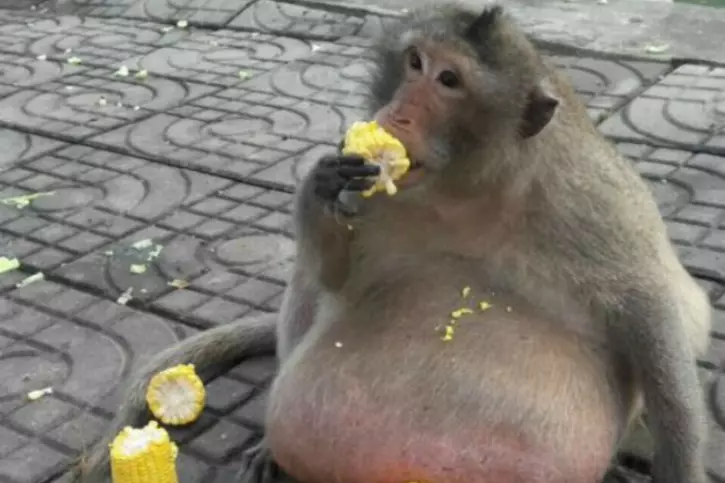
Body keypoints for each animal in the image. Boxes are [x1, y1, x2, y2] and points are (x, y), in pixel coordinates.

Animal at [73, 3, 713, 483]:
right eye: (414, 62)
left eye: (449, 81)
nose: (397, 115)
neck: (463, 188)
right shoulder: (373, 190)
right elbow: (329, 273)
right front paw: (319, 184)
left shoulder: (587, 201)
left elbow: (651, 309)